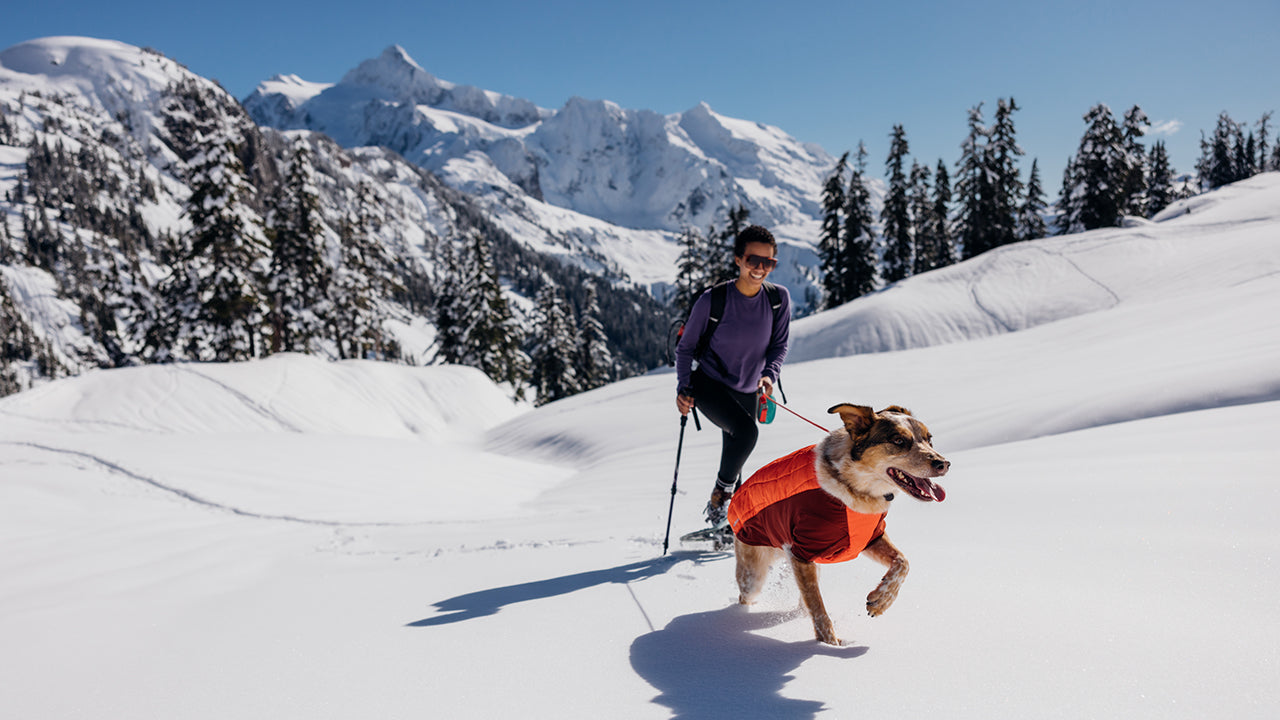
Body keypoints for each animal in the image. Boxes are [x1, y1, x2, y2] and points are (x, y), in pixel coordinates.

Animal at [732, 399, 952, 640]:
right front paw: (828, 645)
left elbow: (903, 562)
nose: (944, 464)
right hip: (754, 574)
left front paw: (881, 601)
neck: (853, 487)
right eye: (898, 440)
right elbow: (819, 611)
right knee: (748, 595)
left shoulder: (869, 537)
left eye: (929, 438)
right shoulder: (802, 553)